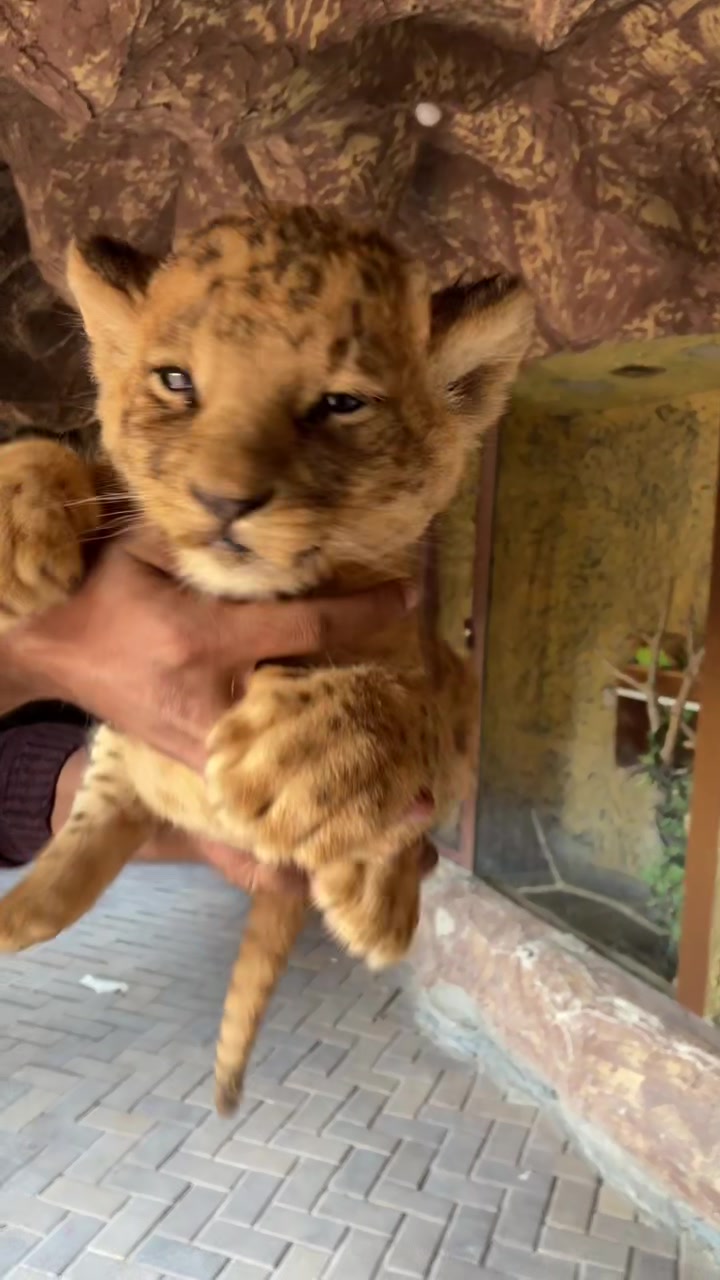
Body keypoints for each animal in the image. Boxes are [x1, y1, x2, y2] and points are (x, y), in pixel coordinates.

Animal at [0, 207, 532, 1113]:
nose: (224, 500)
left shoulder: (426, 648)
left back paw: (376, 902)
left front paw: (315, 755)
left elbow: (413, 702)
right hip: (120, 764)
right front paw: (15, 517)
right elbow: (85, 464)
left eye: (341, 404)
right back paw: (18, 911)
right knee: (96, 819)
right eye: (176, 381)